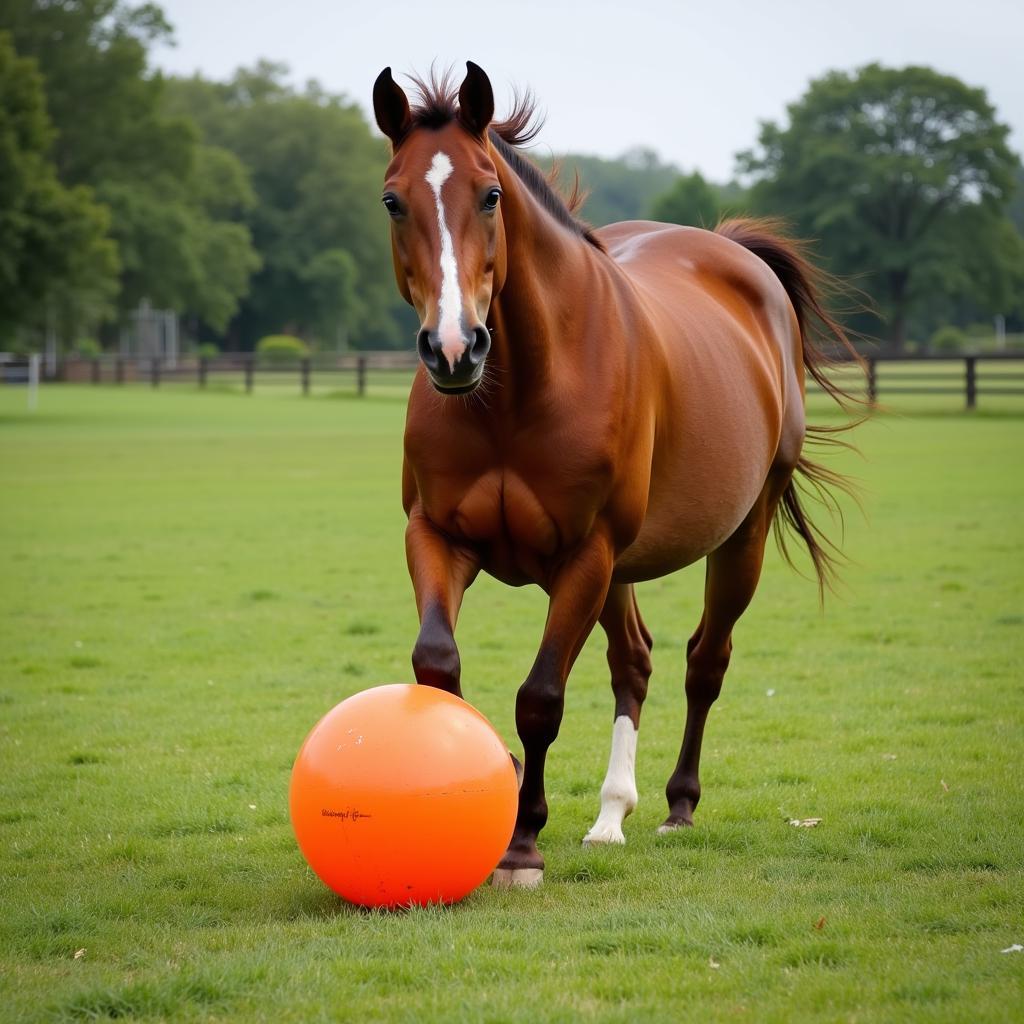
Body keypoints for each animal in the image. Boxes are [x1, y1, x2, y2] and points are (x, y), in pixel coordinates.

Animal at [370, 59, 856, 884]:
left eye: (490, 195)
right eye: (393, 199)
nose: (454, 347)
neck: (518, 393)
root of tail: (733, 251)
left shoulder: (585, 554)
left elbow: (540, 698)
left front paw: (523, 841)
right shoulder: (436, 538)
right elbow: (437, 665)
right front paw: (495, 781)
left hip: (738, 540)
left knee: (704, 662)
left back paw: (675, 805)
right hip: (622, 570)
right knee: (634, 662)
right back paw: (610, 817)